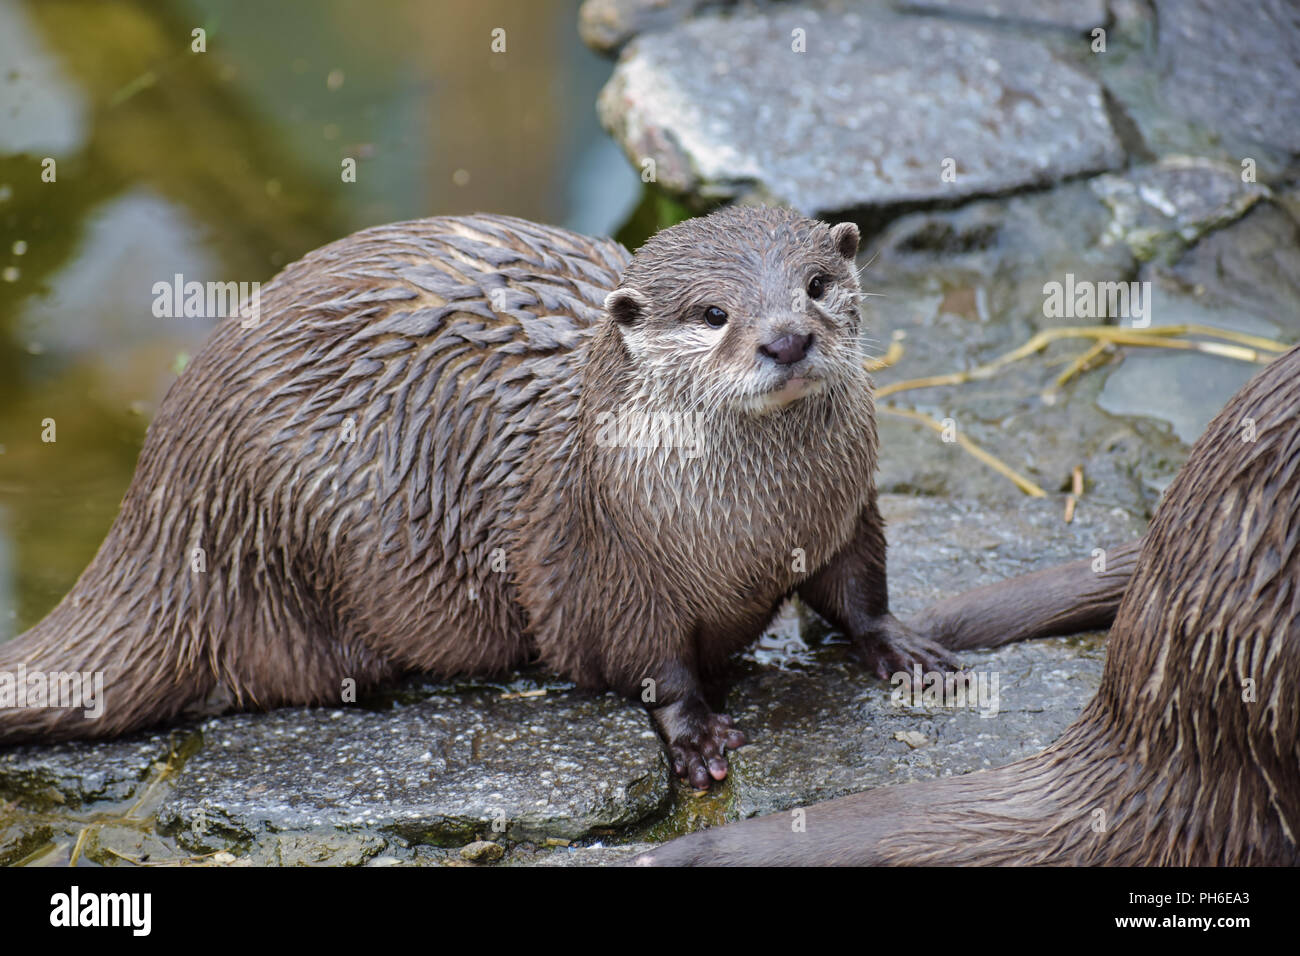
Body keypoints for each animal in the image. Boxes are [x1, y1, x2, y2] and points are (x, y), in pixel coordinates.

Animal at [0, 206, 972, 789]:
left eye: (816, 285)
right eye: (711, 314)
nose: (785, 338)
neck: (754, 528)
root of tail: (159, 501)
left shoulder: (844, 511)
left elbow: (859, 588)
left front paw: (906, 647)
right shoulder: (604, 558)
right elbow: (646, 662)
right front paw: (694, 734)